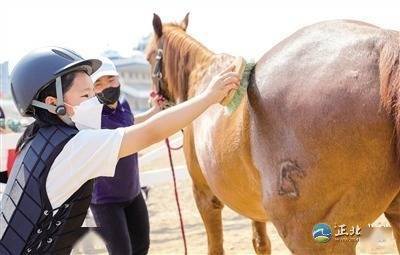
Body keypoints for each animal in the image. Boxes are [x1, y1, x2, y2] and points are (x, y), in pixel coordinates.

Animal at [145, 14, 400, 255]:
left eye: (148, 57)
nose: (154, 101)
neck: (203, 76)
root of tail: (383, 42)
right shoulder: (252, 206)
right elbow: (261, 243)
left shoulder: (205, 197)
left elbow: (216, 248)